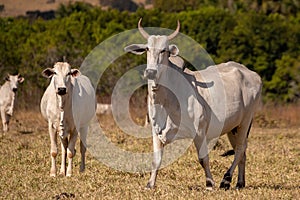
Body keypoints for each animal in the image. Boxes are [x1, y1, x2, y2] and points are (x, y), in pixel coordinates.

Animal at [123, 19, 262, 190]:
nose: (151, 72)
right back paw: (240, 183)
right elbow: (156, 160)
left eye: (164, 50)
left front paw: (209, 183)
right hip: (233, 127)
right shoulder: (156, 131)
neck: (166, 100)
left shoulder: (200, 131)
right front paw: (150, 184)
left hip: (245, 121)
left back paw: (226, 179)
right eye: (147, 49)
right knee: (241, 152)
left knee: (240, 149)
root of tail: (252, 74)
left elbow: (203, 159)